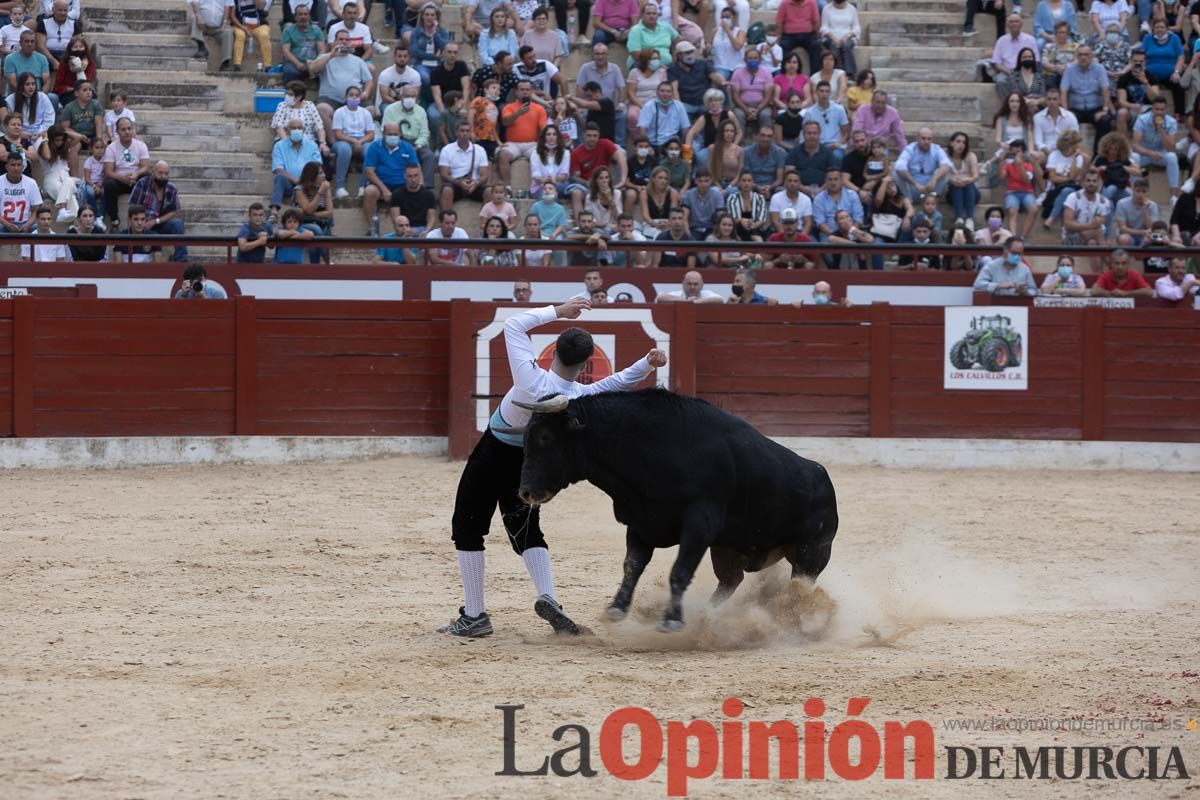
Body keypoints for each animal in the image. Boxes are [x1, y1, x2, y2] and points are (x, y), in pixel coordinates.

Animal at [511, 391, 840, 633]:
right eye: (526, 438)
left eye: (545, 438)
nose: (525, 492)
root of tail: (823, 477)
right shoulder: (641, 522)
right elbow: (632, 565)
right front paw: (616, 609)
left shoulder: (699, 524)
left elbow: (679, 570)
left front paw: (671, 620)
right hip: (727, 549)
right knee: (730, 581)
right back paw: (709, 615)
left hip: (812, 553)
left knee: (800, 589)